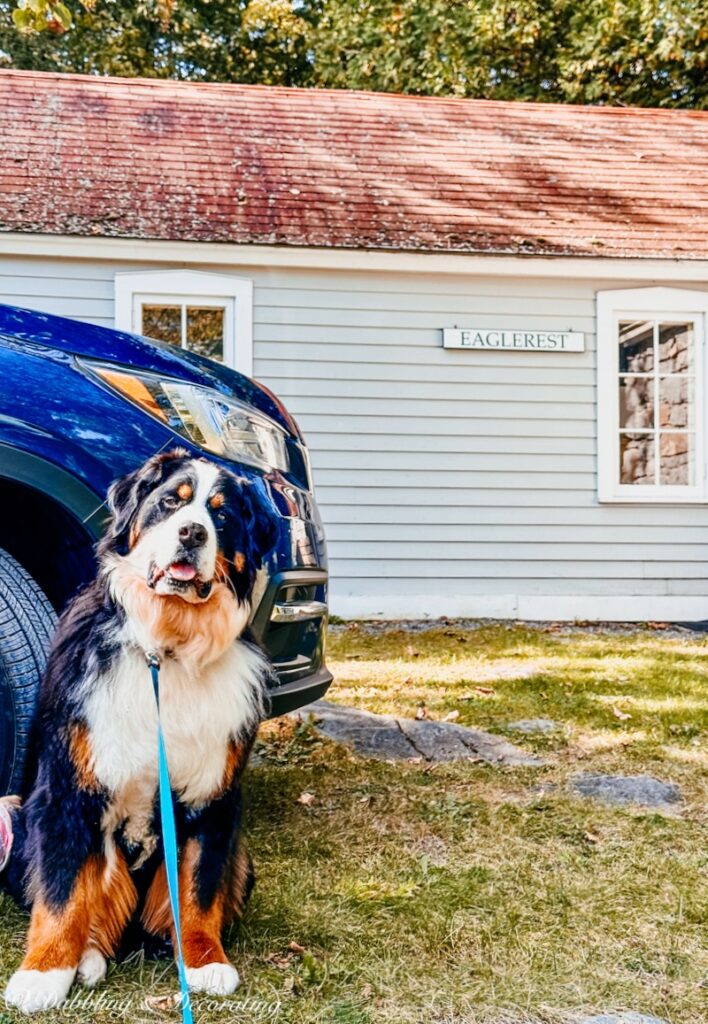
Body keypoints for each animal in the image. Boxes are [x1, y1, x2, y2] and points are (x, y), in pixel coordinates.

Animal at [0, 450, 276, 1015]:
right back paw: (85, 956)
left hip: (243, 857)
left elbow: (198, 887)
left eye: (222, 515)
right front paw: (43, 973)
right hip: (18, 819)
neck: (167, 647)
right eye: (171, 501)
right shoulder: (66, 789)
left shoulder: (216, 797)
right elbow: (61, 890)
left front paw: (204, 961)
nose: (192, 532)